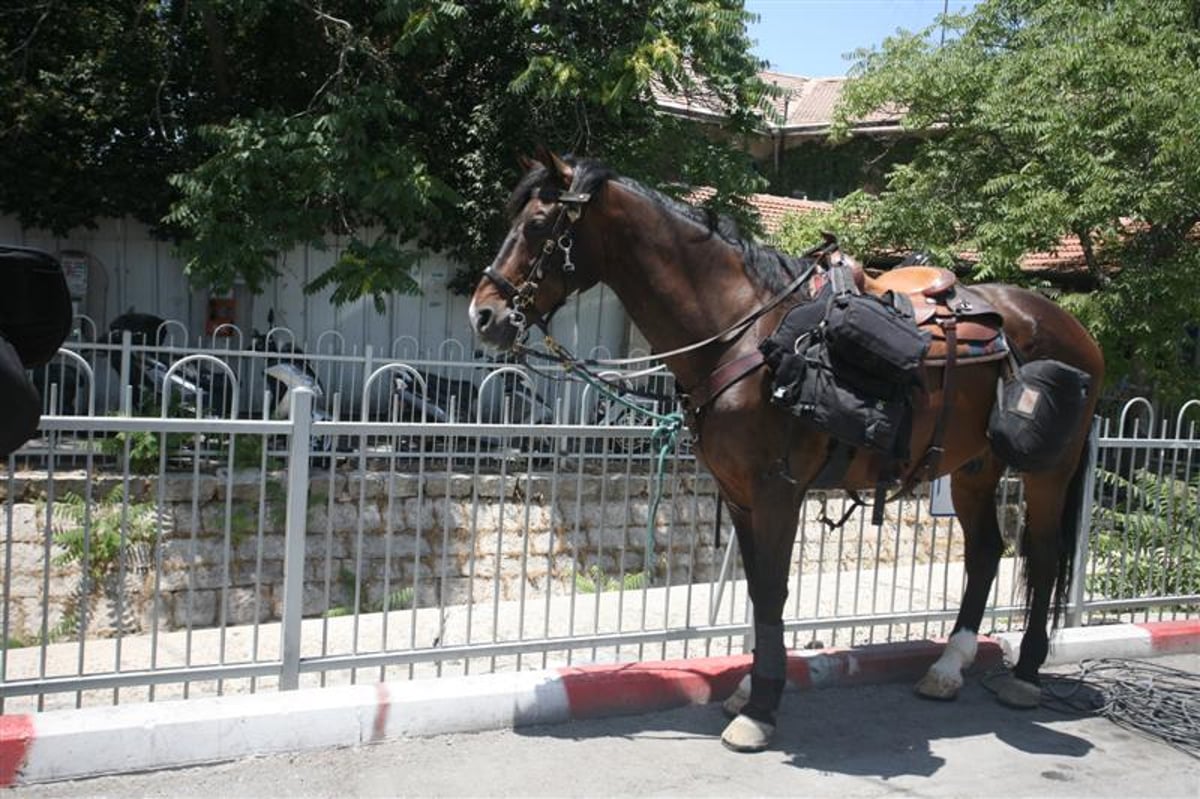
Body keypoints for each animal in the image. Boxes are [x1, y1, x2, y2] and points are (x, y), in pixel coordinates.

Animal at [468, 151, 1104, 753]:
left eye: (539, 224)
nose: (484, 314)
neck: (744, 333)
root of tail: (1073, 329)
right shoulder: (739, 494)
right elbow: (757, 592)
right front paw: (751, 688)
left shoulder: (777, 489)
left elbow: (773, 589)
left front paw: (760, 709)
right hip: (973, 468)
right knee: (987, 552)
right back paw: (948, 667)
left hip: (1049, 470)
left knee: (1044, 553)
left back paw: (1025, 674)